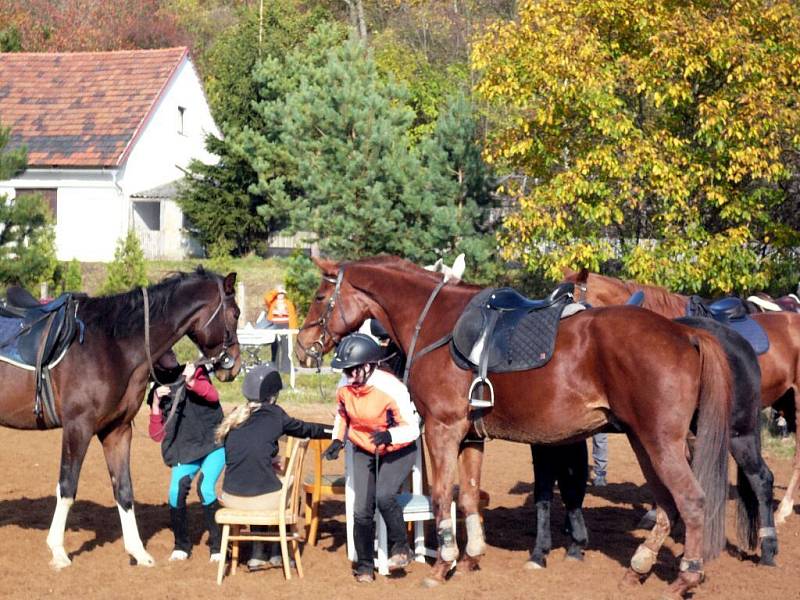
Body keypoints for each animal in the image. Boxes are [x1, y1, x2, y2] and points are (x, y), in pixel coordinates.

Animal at [0, 270, 241, 568]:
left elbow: (124, 490)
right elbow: (67, 486)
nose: (235, 365)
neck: (113, 344)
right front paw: (58, 551)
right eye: (235, 313)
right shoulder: (78, 426)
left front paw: (139, 552)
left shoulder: (117, 430)